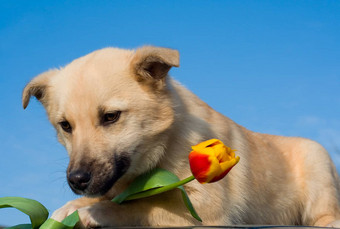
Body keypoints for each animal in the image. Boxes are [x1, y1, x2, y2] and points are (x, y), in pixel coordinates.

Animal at [21, 46, 340, 227]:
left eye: (111, 117)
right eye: (65, 126)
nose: (77, 181)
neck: (164, 145)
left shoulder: (205, 211)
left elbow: (145, 206)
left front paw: (95, 212)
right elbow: (110, 199)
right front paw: (67, 211)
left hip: (317, 159)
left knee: (327, 216)